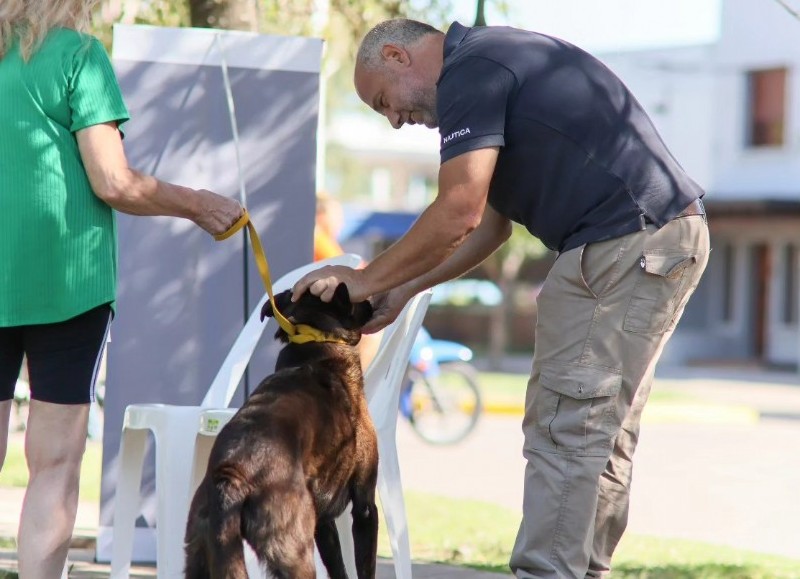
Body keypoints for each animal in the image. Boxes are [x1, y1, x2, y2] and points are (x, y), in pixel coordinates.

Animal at [184, 284, 378, 579]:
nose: (370, 302)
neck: (315, 338)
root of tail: (231, 475)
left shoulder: (323, 522)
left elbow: (338, 567)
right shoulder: (365, 505)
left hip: (200, 554)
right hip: (294, 551)